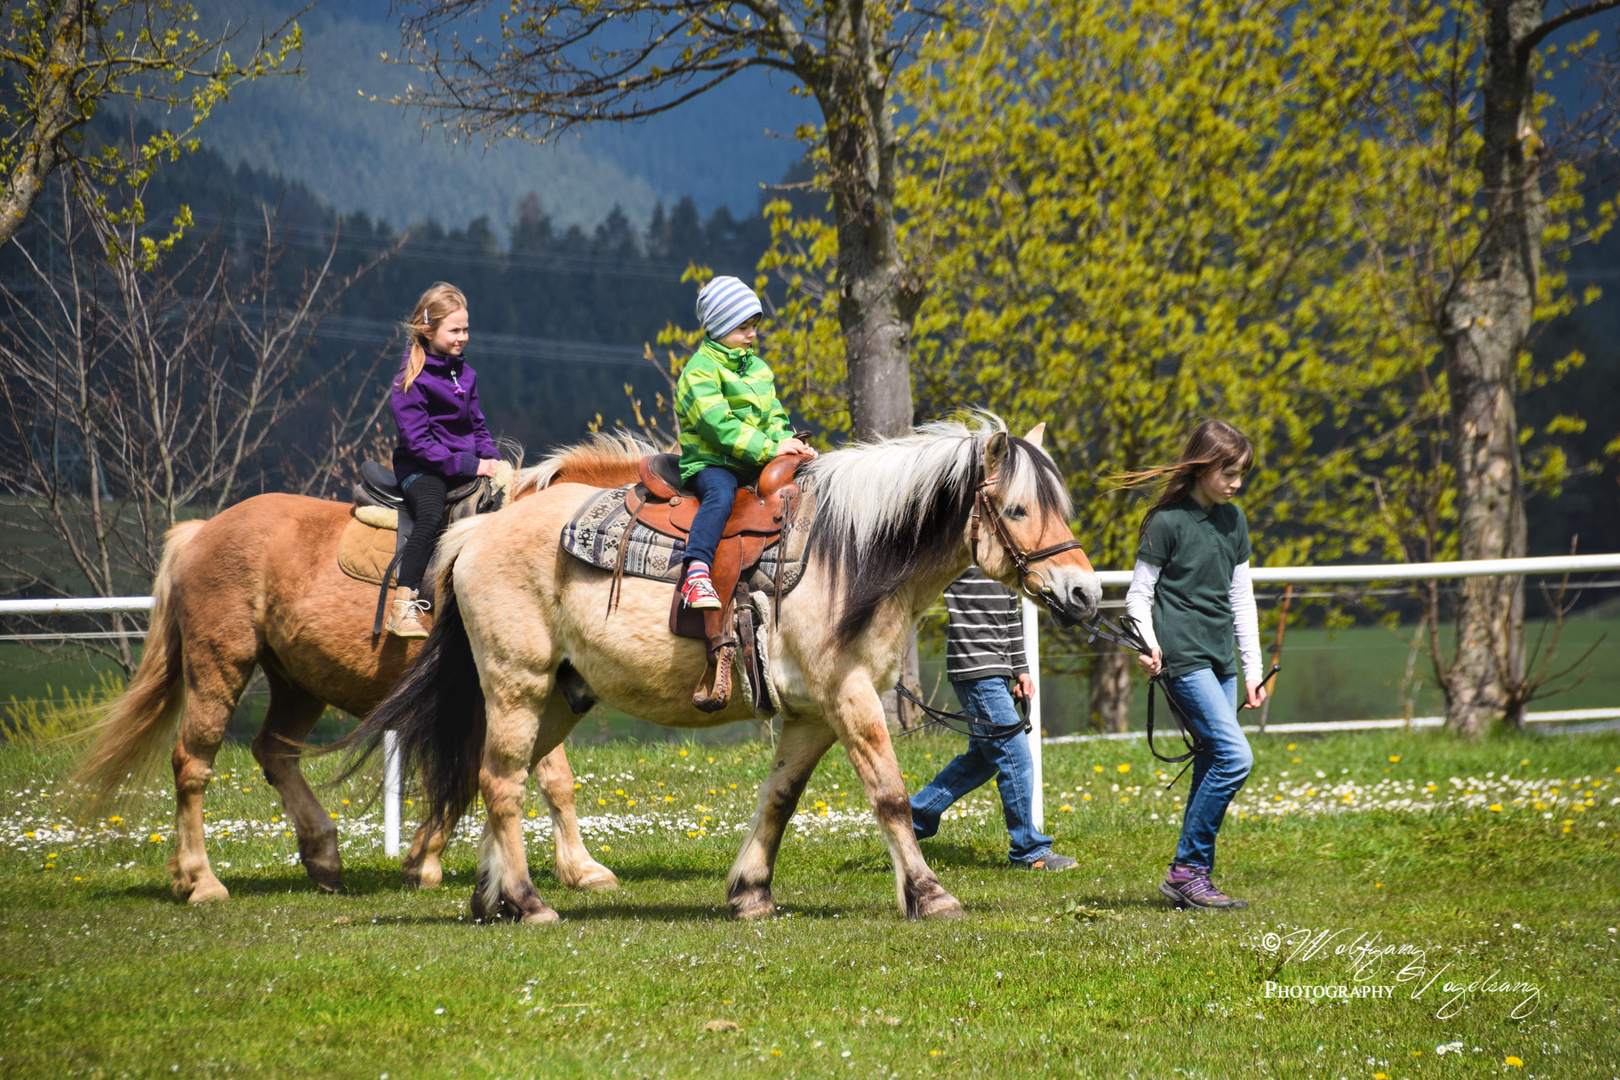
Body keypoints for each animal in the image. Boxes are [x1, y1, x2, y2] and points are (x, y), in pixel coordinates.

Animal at [72, 440, 644, 906]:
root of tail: (199, 533)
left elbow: (535, 779)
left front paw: (427, 859)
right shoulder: (514, 685)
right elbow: (532, 775)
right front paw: (576, 867)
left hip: (298, 684)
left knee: (273, 751)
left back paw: (321, 856)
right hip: (220, 665)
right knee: (193, 763)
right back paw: (201, 880)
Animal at [341, 417, 1101, 926]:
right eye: (1018, 508)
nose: (1084, 593)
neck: (849, 556)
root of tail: (473, 533)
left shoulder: (811, 712)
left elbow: (780, 798)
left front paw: (750, 892)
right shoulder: (850, 697)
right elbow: (888, 795)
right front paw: (929, 893)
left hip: (558, 697)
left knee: (501, 775)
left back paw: (491, 897)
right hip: (516, 684)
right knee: (500, 783)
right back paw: (527, 903)